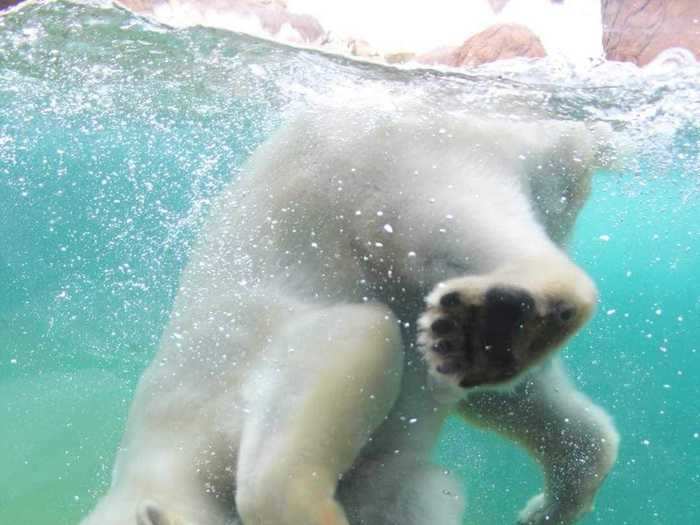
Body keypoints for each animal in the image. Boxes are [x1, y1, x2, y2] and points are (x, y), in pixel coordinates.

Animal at [80, 99, 616, 524]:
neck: (155, 451)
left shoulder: (219, 382)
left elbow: (353, 340)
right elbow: (411, 491)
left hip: (401, 162)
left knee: (447, 224)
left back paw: (499, 323)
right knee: (512, 397)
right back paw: (553, 493)